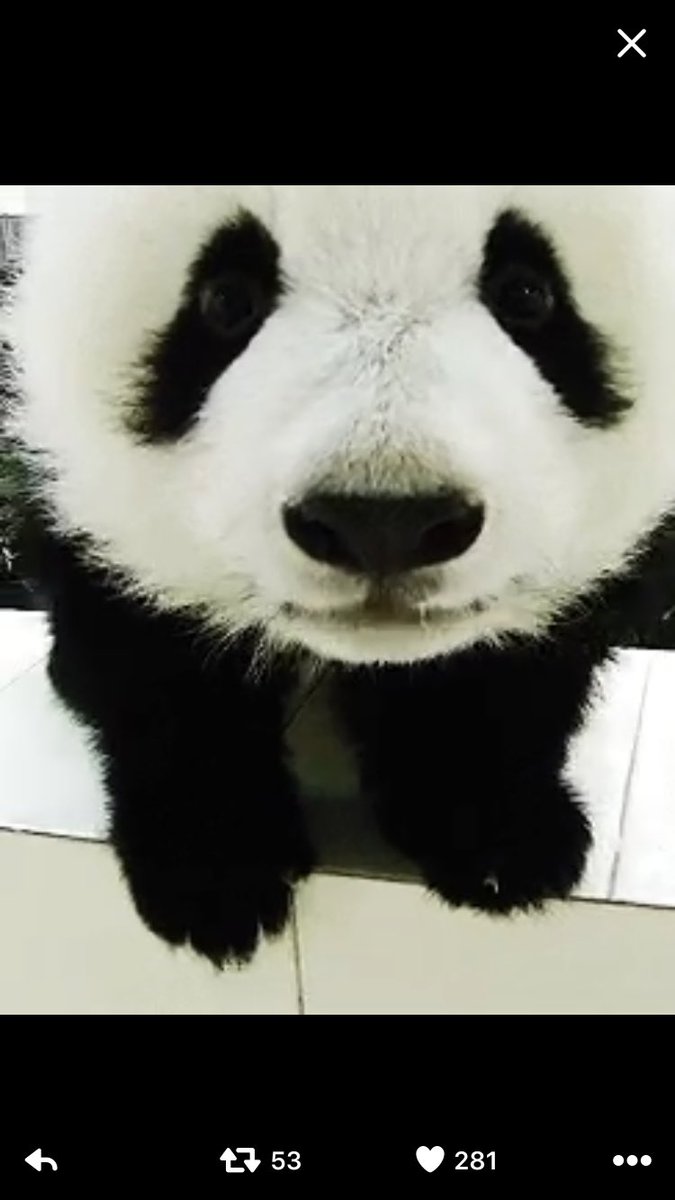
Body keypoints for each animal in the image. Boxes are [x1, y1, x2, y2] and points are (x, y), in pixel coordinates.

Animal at [7, 185, 675, 966]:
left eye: (527, 292)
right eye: (226, 298)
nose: (382, 523)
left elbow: (505, 669)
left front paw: (498, 837)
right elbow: (148, 651)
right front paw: (214, 874)